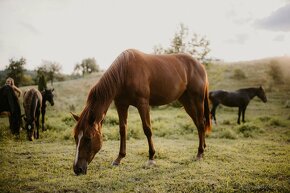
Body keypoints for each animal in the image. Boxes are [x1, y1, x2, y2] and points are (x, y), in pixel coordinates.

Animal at [70, 49, 211, 176]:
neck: (125, 73)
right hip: (187, 102)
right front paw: (119, 158)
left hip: (197, 100)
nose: (77, 169)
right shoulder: (121, 105)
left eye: (88, 138)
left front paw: (151, 158)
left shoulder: (142, 104)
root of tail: (200, 65)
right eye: (76, 137)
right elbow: (122, 130)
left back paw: (199, 153)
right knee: (199, 124)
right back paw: (203, 148)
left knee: (200, 123)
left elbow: (147, 129)